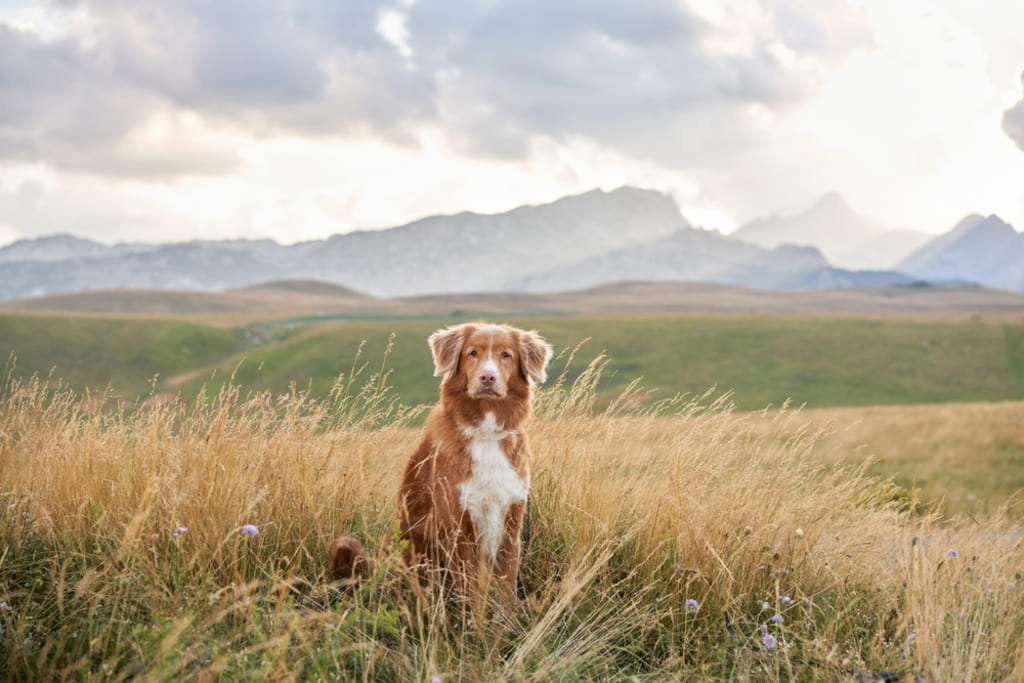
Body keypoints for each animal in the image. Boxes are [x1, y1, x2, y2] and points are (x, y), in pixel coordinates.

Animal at [327, 323, 552, 606]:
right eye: (472, 353)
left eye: (506, 355)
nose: (487, 378)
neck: (486, 432)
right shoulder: (459, 526)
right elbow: (472, 595)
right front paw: (475, 619)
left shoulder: (511, 522)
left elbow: (507, 589)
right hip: (414, 543)